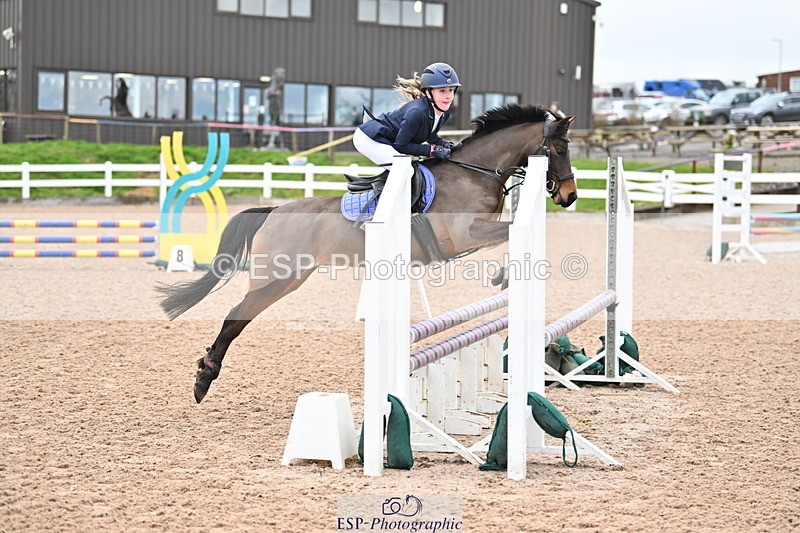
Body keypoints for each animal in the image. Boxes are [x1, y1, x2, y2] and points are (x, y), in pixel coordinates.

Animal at [157, 103, 578, 403]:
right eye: (559, 149)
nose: (570, 196)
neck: (475, 171)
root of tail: (273, 210)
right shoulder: (463, 235)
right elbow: (507, 233)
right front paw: (502, 276)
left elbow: (510, 235)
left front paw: (503, 275)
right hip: (277, 278)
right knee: (235, 317)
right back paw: (203, 379)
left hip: (289, 278)